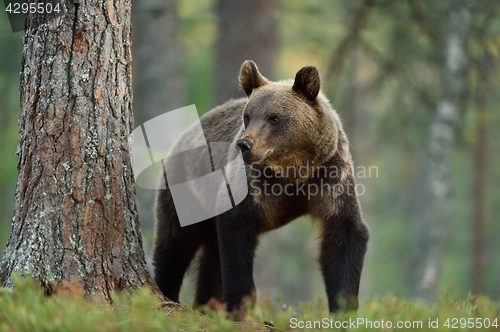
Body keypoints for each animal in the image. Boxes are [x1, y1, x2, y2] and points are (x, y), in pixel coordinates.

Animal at [154, 60, 370, 314]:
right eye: (247, 116)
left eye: (274, 117)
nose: (244, 144)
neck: (293, 169)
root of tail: (185, 134)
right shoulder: (251, 187)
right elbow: (236, 237)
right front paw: (239, 305)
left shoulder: (330, 178)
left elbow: (344, 235)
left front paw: (343, 309)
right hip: (187, 191)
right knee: (176, 243)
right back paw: (166, 293)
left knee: (208, 254)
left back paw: (206, 304)